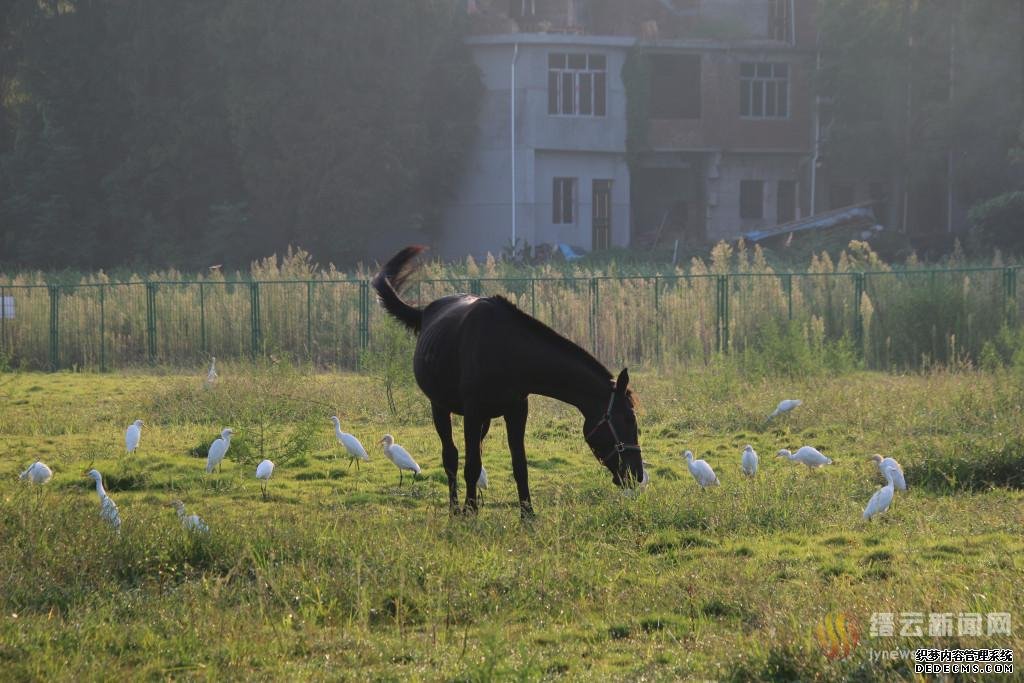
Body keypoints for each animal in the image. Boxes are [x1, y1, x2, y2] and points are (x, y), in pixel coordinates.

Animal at [368, 244, 643, 511]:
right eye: (628, 420)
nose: (637, 475)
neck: (508, 350)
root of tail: (425, 312)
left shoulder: (516, 411)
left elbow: (518, 465)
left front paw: (527, 514)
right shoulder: (472, 412)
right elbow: (469, 465)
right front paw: (469, 512)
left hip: (485, 420)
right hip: (440, 408)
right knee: (451, 457)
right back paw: (456, 509)